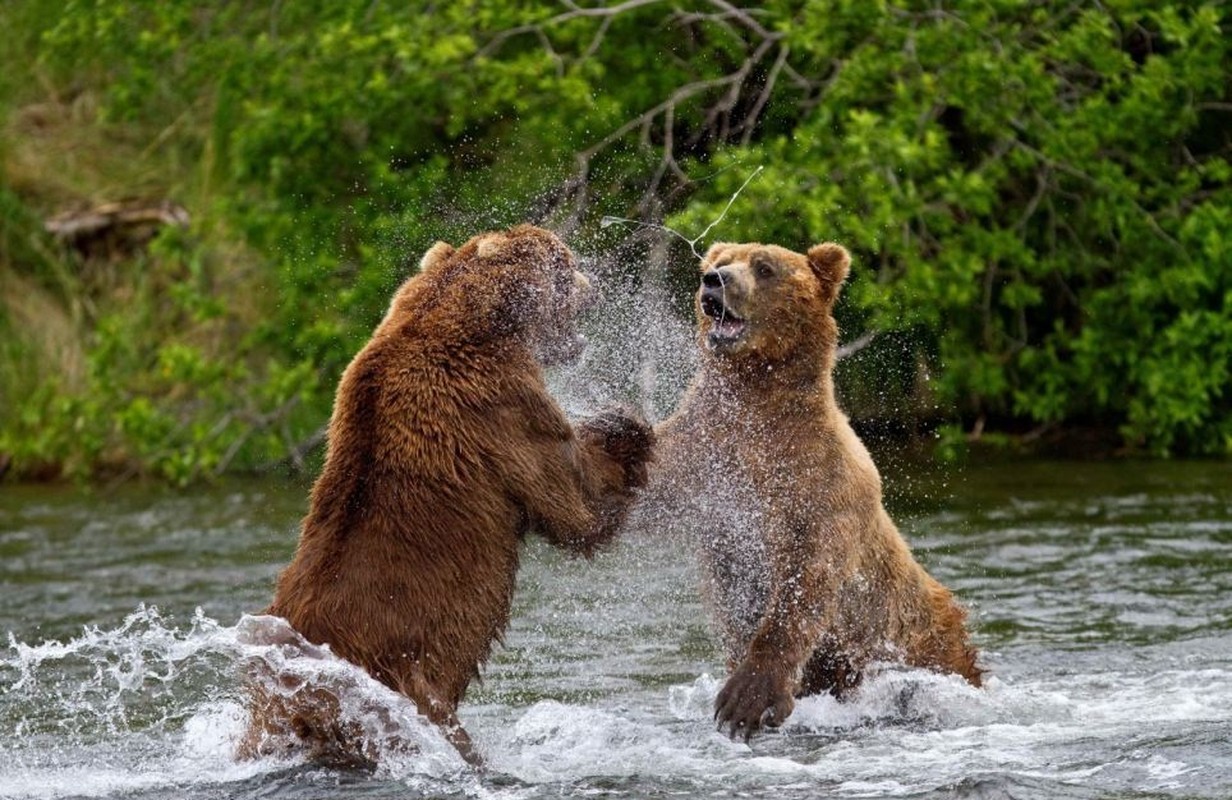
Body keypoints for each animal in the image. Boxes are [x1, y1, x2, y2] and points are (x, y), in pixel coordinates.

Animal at [243, 223, 660, 759]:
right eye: (564, 262)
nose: (596, 283)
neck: (482, 324)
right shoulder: (501, 410)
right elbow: (576, 504)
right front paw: (623, 426)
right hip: (408, 693)